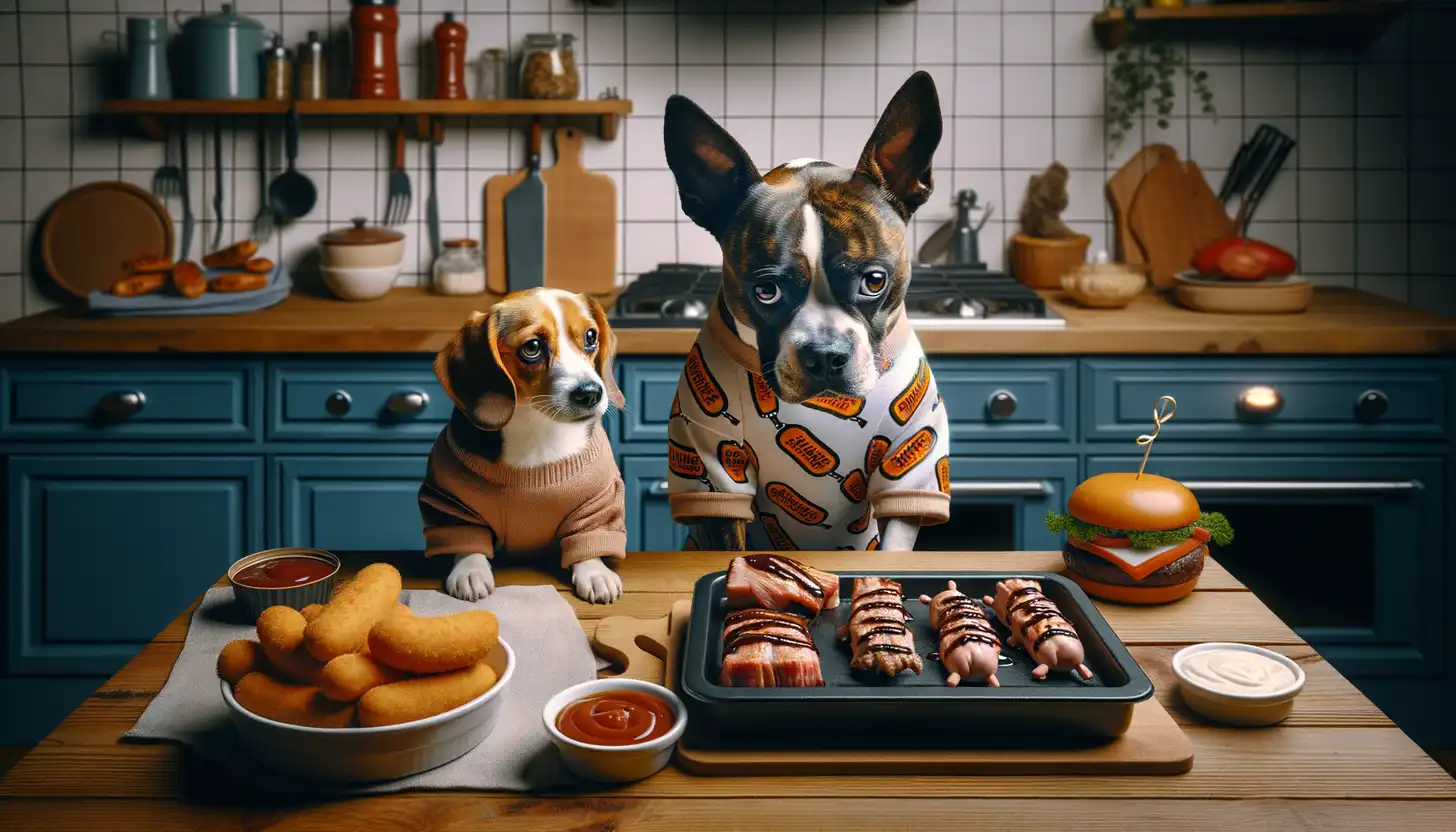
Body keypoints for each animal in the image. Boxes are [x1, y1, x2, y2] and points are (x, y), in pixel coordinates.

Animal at [419, 288, 628, 606]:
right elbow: (466, 539)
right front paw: (470, 570)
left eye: (591, 336)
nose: (591, 393)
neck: (540, 429)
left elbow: (588, 538)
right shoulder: (452, 501)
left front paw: (594, 573)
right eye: (532, 347)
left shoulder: (598, 502)